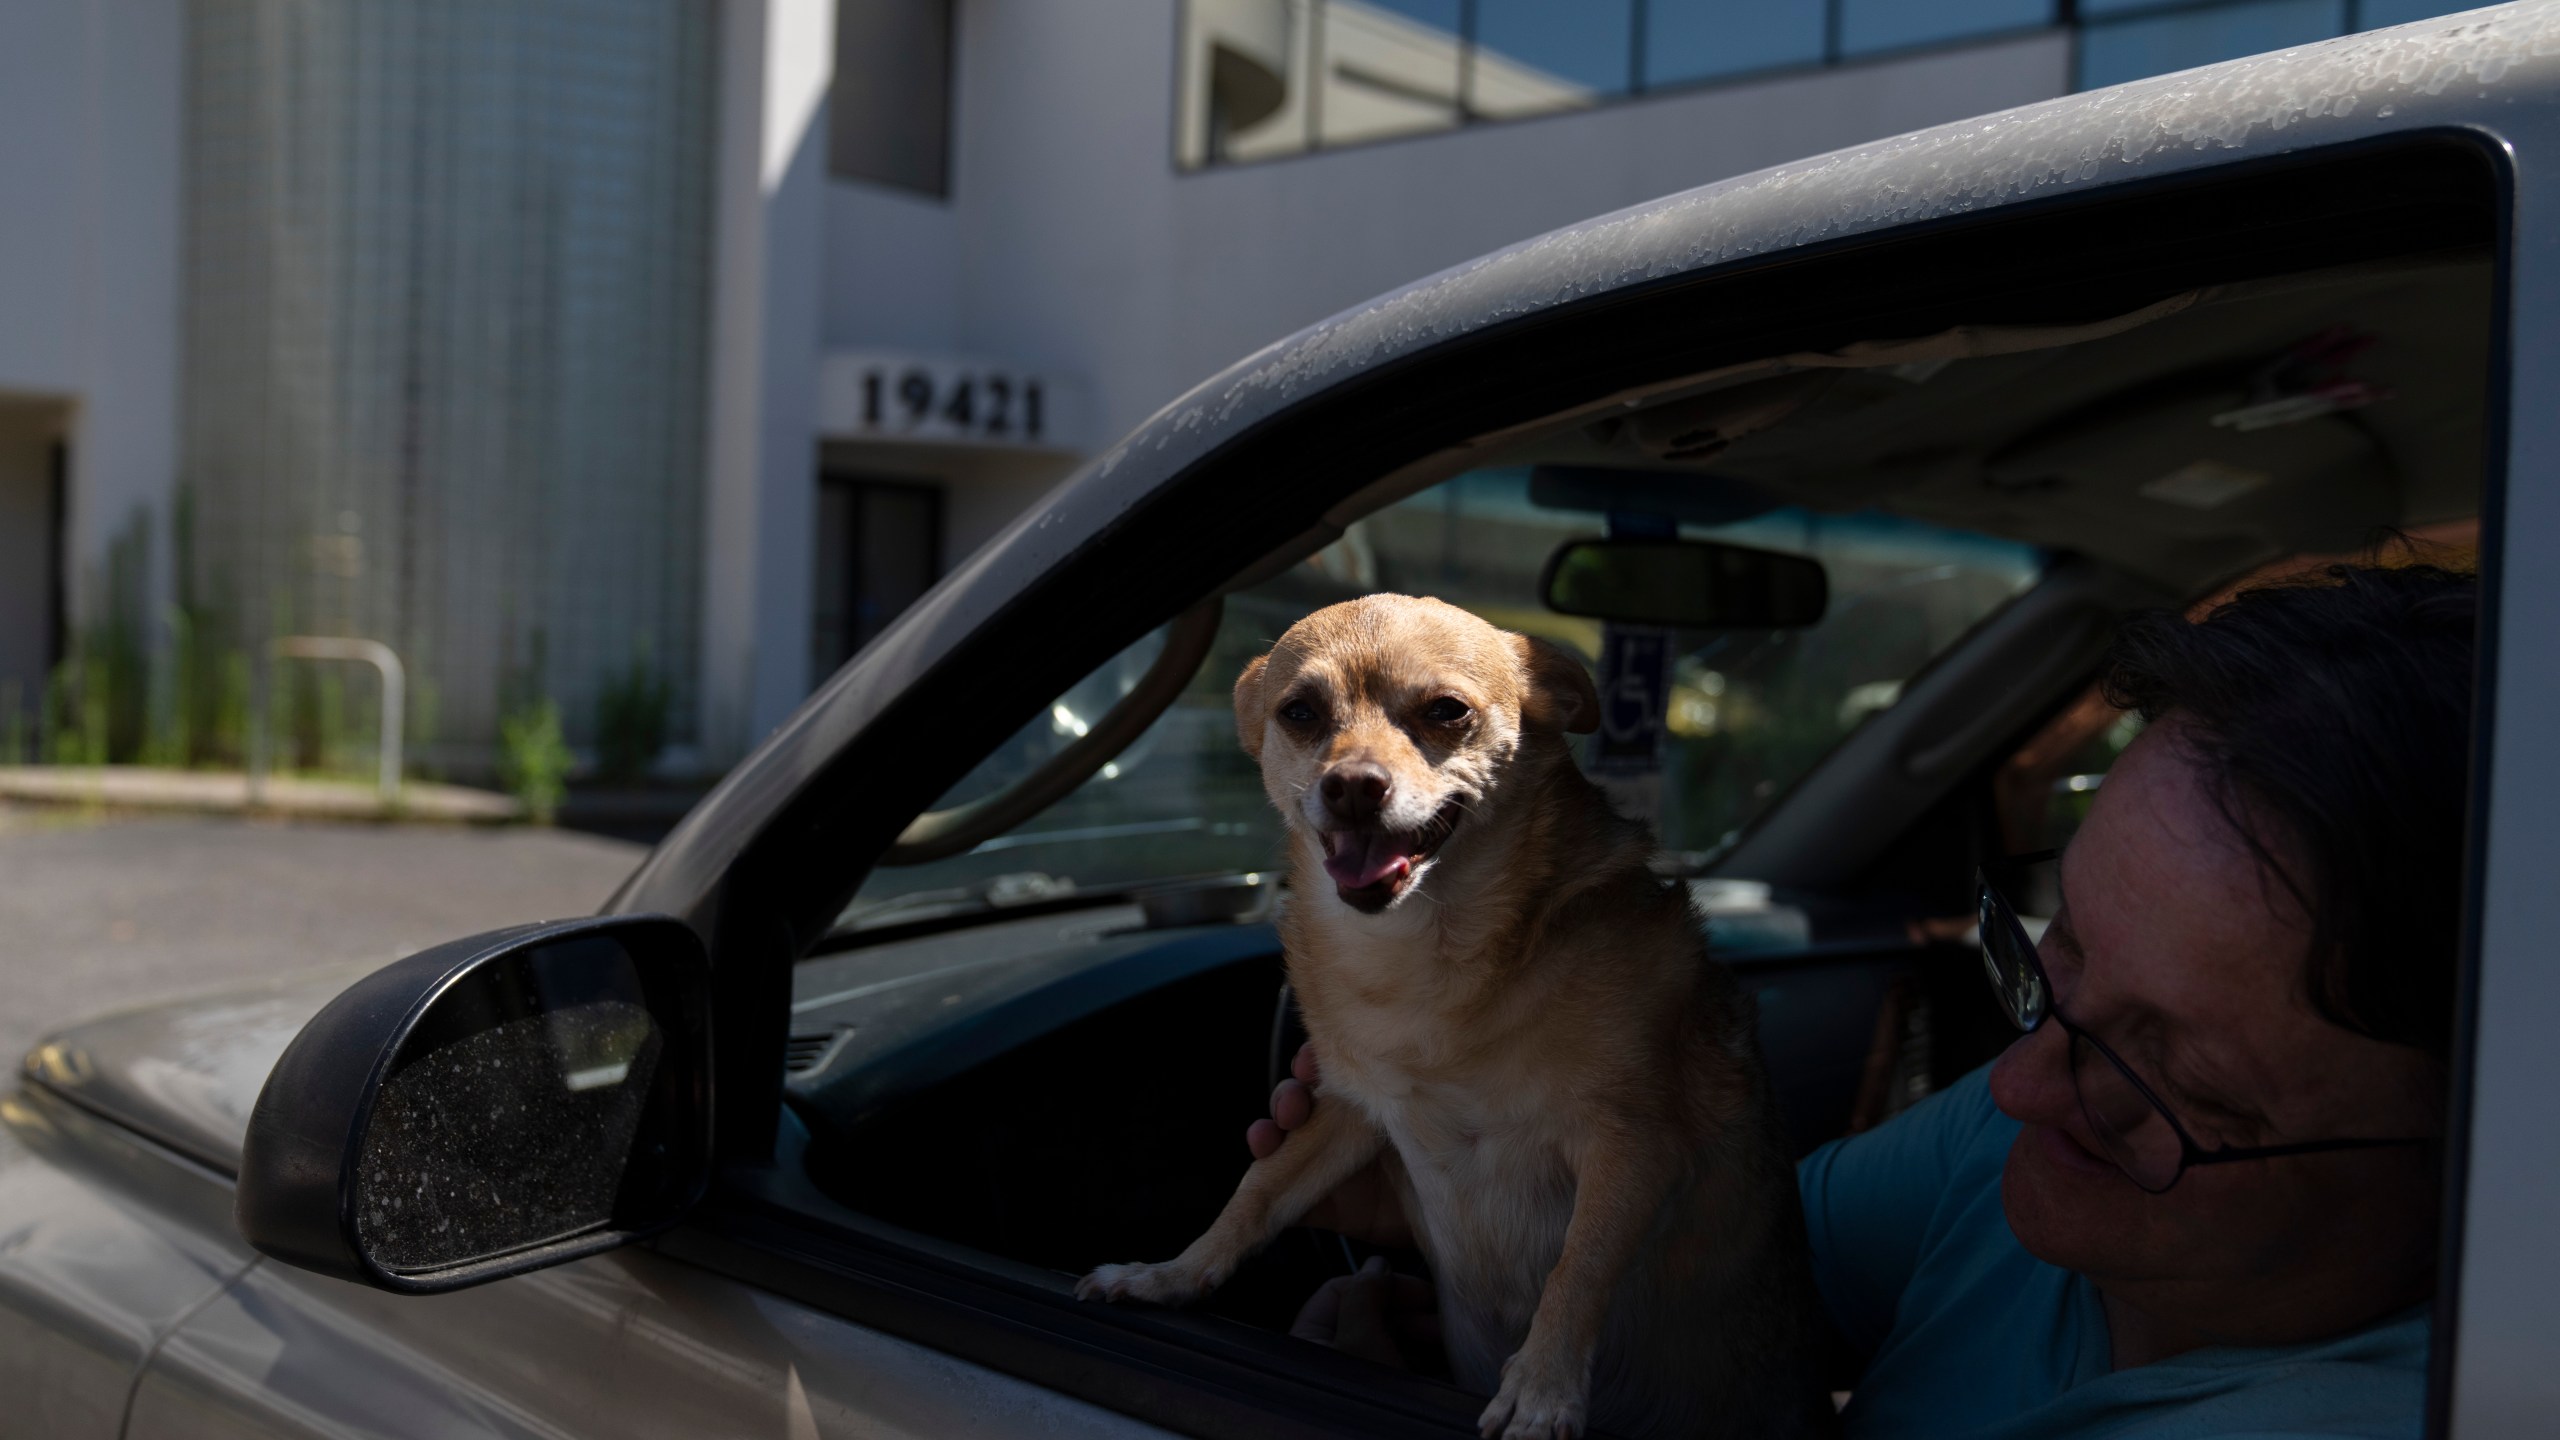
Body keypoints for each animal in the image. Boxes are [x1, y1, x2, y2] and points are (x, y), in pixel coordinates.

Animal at [1070, 589, 1832, 1424]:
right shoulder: (1353, 1108)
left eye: (1446, 711)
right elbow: (1257, 1191)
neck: (1431, 955)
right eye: (1300, 713)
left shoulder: (1634, 1146)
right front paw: (1170, 1275)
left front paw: (1542, 1386)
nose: (1353, 785)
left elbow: (1581, 1265)